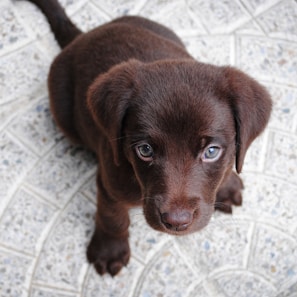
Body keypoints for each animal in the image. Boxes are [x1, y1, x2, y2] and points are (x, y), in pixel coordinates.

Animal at [26, 0, 272, 276]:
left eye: (211, 151)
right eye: (145, 150)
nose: (176, 222)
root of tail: (82, 37)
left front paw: (227, 184)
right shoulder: (110, 181)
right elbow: (112, 216)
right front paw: (109, 250)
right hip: (63, 111)